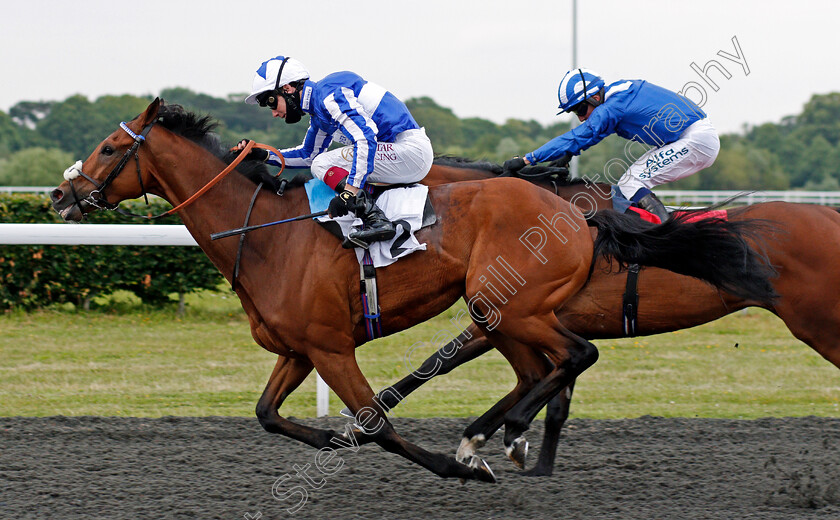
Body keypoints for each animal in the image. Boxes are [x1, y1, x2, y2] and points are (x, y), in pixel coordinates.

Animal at [49, 101, 776, 484]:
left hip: (509, 306)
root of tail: (580, 217)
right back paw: (503, 436)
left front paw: (459, 465)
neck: (263, 233)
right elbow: (268, 414)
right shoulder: (299, 348)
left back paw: (501, 438)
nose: (60, 194)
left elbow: (381, 420)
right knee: (552, 367)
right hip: (503, 310)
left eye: (110, 147)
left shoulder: (331, 347)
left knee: (574, 358)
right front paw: (336, 440)